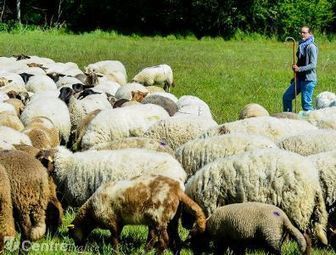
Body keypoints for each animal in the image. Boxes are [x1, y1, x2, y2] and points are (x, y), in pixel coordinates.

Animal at [68, 175, 205, 255]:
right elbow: (117, 237)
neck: (90, 213)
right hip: (172, 219)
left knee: (164, 240)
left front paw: (115, 252)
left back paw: (156, 253)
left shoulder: (112, 221)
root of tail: (177, 190)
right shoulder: (119, 222)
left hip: (160, 216)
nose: (78, 249)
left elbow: (114, 239)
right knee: (177, 239)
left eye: (72, 234)